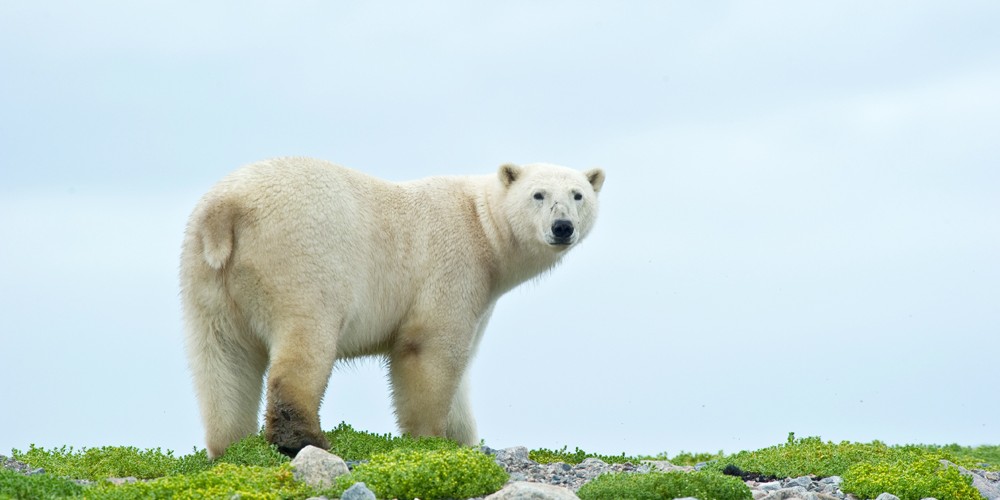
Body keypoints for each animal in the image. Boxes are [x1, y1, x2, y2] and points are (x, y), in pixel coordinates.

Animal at [179, 158, 600, 458]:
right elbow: (429, 350)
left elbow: (462, 370)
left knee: (223, 358)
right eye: (539, 194)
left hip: (206, 274)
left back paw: (232, 445)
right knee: (305, 342)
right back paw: (303, 440)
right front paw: (430, 439)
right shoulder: (451, 267)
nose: (563, 227)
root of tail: (227, 208)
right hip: (302, 258)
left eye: (578, 194)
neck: (483, 228)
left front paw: (463, 439)